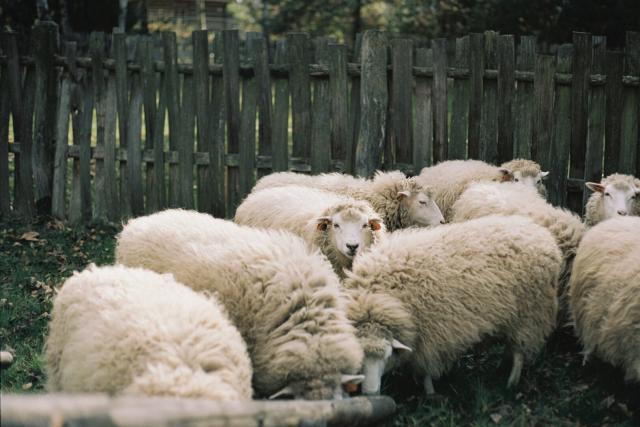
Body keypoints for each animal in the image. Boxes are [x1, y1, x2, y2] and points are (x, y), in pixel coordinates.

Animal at [342, 215, 561, 395]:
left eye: (387, 356)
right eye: (361, 359)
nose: (370, 393)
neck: (378, 297)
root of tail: (541, 234)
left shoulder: (430, 337)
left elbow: (426, 369)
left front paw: (429, 393)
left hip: (530, 313)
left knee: (519, 352)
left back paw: (511, 382)